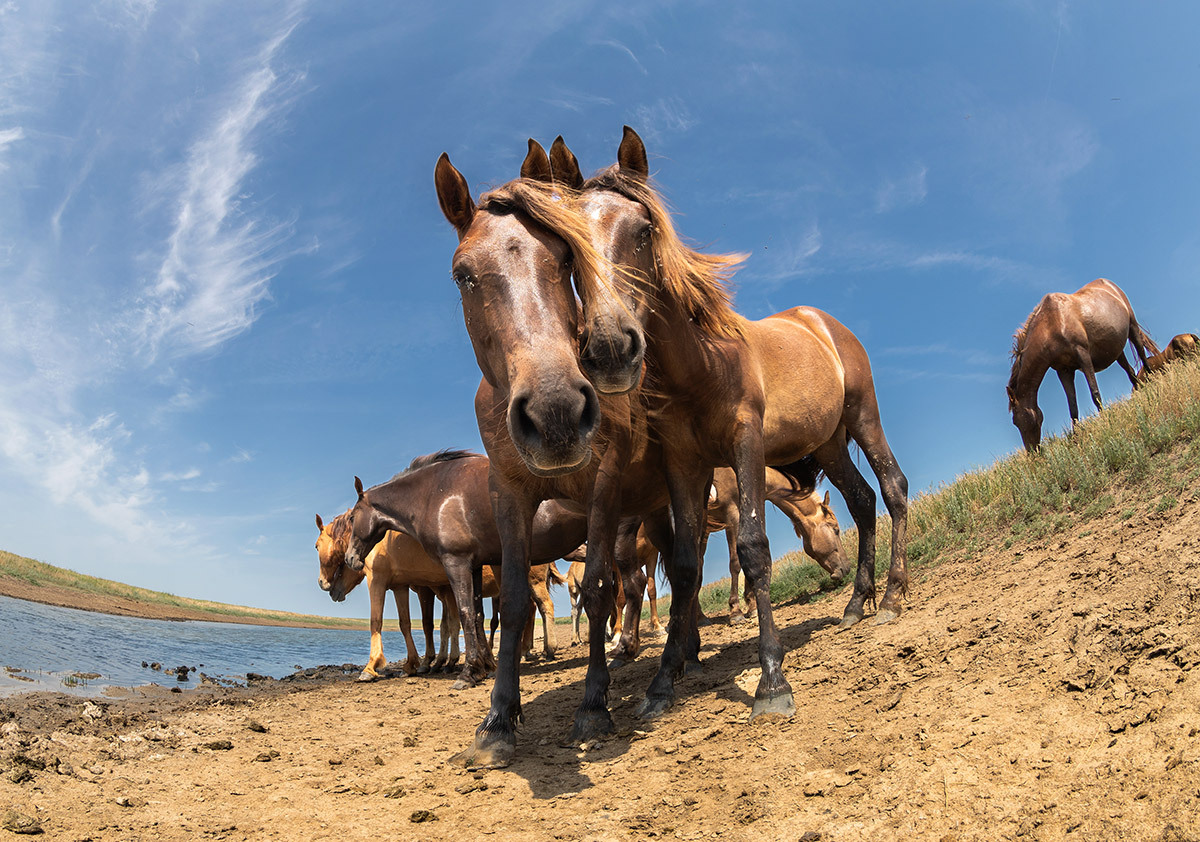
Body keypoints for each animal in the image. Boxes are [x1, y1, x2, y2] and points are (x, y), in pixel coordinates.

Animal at [429, 148, 676, 767]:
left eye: (563, 257)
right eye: (463, 274)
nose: (556, 411)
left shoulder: (603, 490)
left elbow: (597, 591)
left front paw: (593, 706)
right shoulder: (509, 494)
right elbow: (514, 602)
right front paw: (498, 721)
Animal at [705, 467, 849, 628]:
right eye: (836, 529)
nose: (847, 568)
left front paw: (752, 606)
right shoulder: (731, 515)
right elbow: (735, 564)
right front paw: (736, 612)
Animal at [1008, 278, 1156, 450]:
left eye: (1022, 419)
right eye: (1015, 423)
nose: (1033, 452)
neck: (1052, 324)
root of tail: (1109, 284)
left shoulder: (1083, 356)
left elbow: (1095, 393)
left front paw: (1106, 422)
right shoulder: (1064, 370)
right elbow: (1072, 406)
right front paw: (1075, 440)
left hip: (1132, 327)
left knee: (1143, 356)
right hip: (1117, 351)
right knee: (1131, 371)